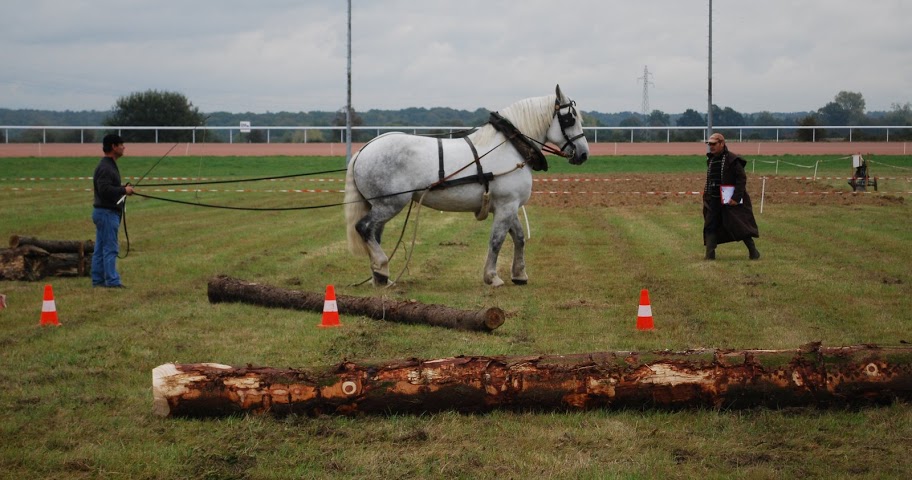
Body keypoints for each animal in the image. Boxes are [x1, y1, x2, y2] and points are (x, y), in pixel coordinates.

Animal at [344, 84, 592, 286]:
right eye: (570, 119)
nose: (583, 153)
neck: (510, 148)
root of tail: (362, 151)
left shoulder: (508, 206)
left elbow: (519, 237)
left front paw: (519, 274)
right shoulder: (507, 205)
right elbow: (497, 240)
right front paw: (492, 277)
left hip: (381, 205)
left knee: (374, 233)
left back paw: (379, 276)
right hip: (390, 203)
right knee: (364, 228)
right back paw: (382, 267)